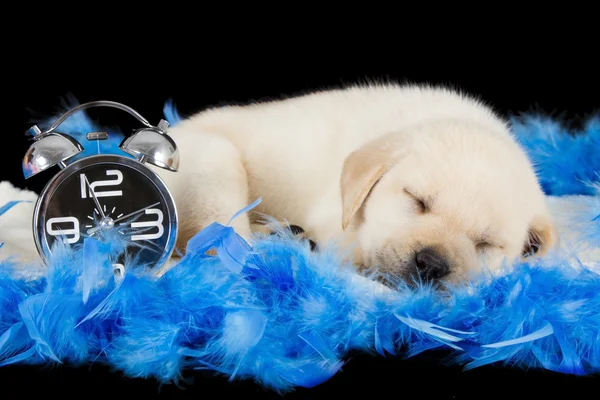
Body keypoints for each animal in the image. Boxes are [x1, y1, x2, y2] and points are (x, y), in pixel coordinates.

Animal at [151, 83, 556, 286]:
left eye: (486, 244)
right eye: (417, 201)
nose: (431, 264)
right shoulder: (335, 221)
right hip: (216, 167)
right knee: (220, 246)